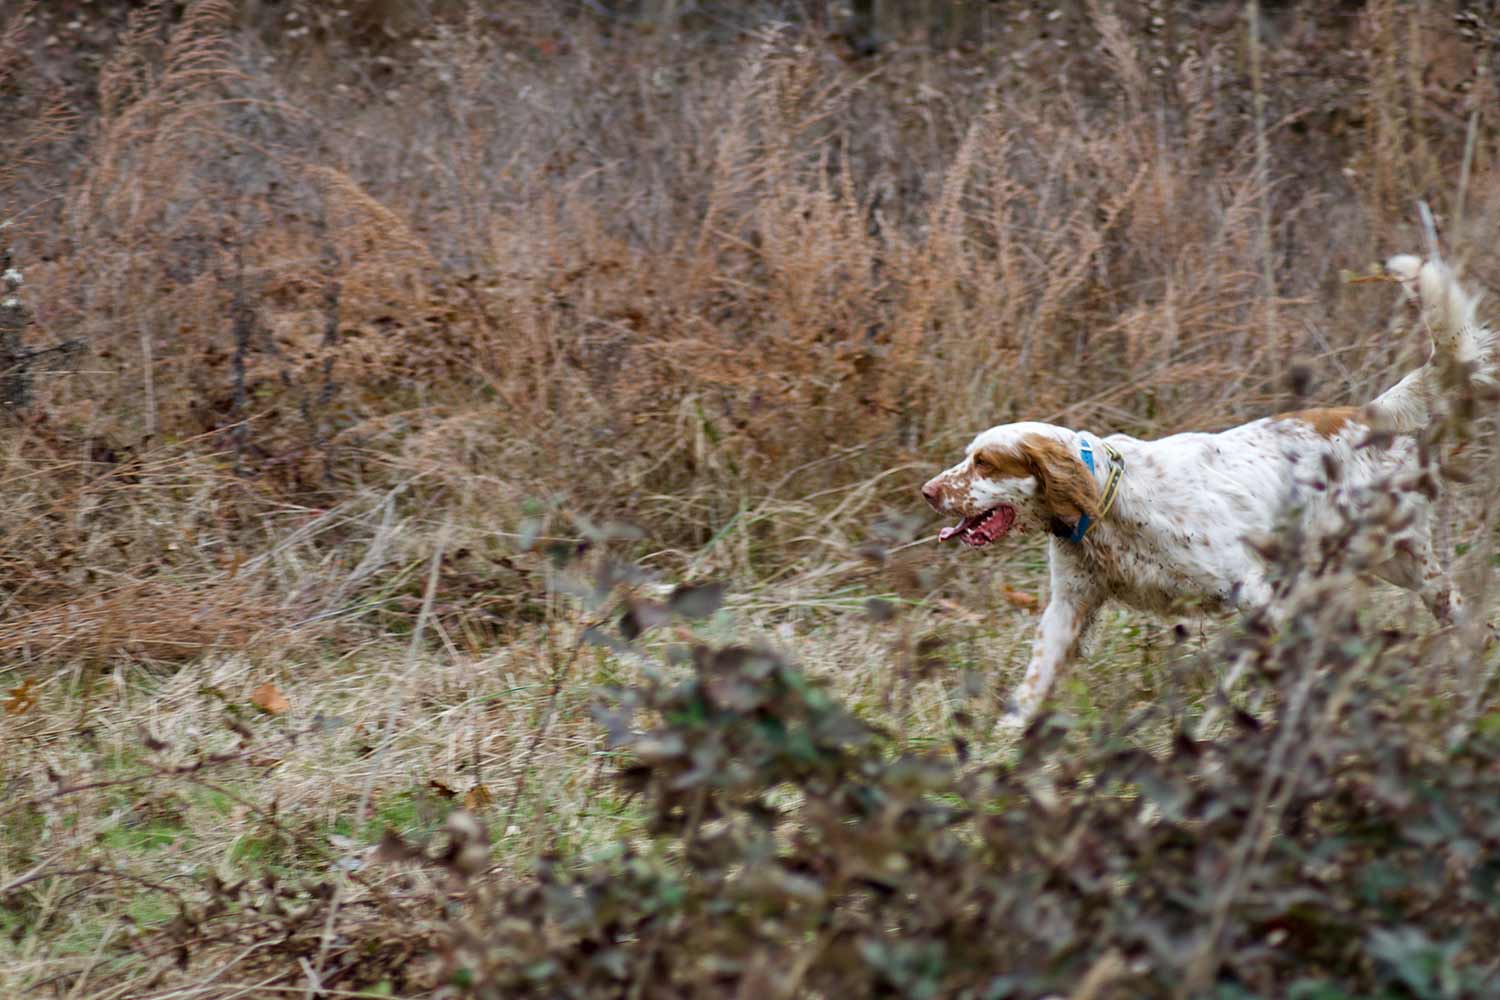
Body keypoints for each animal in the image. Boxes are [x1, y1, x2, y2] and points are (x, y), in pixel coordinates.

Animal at [918, 257, 1494, 728]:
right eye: (970, 457)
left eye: (984, 462)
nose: (927, 491)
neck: (1109, 505)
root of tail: (1369, 414)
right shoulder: (1070, 606)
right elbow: (1033, 685)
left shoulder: (1254, 591)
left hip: (1399, 557)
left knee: (1451, 603)